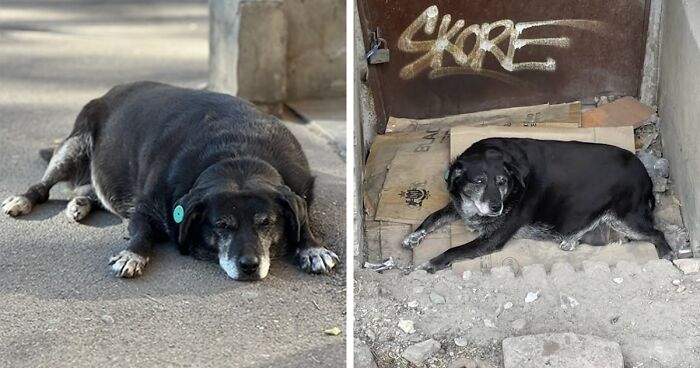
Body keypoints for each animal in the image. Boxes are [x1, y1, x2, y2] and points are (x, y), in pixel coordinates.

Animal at [0, 82, 340, 280]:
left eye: (266, 222)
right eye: (222, 225)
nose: (249, 266)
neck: (237, 153)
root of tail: (110, 92)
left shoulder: (298, 192)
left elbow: (304, 218)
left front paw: (312, 248)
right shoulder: (144, 209)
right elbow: (142, 233)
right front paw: (132, 254)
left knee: (94, 191)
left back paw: (81, 202)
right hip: (74, 145)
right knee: (44, 186)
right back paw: (25, 199)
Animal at [402, 137, 676, 272]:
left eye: (501, 182)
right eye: (479, 181)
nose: (496, 207)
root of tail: (645, 174)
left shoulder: (492, 239)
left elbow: (453, 250)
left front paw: (433, 262)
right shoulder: (459, 205)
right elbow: (432, 217)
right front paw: (414, 236)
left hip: (627, 219)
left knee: (657, 233)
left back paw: (667, 253)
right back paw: (571, 240)